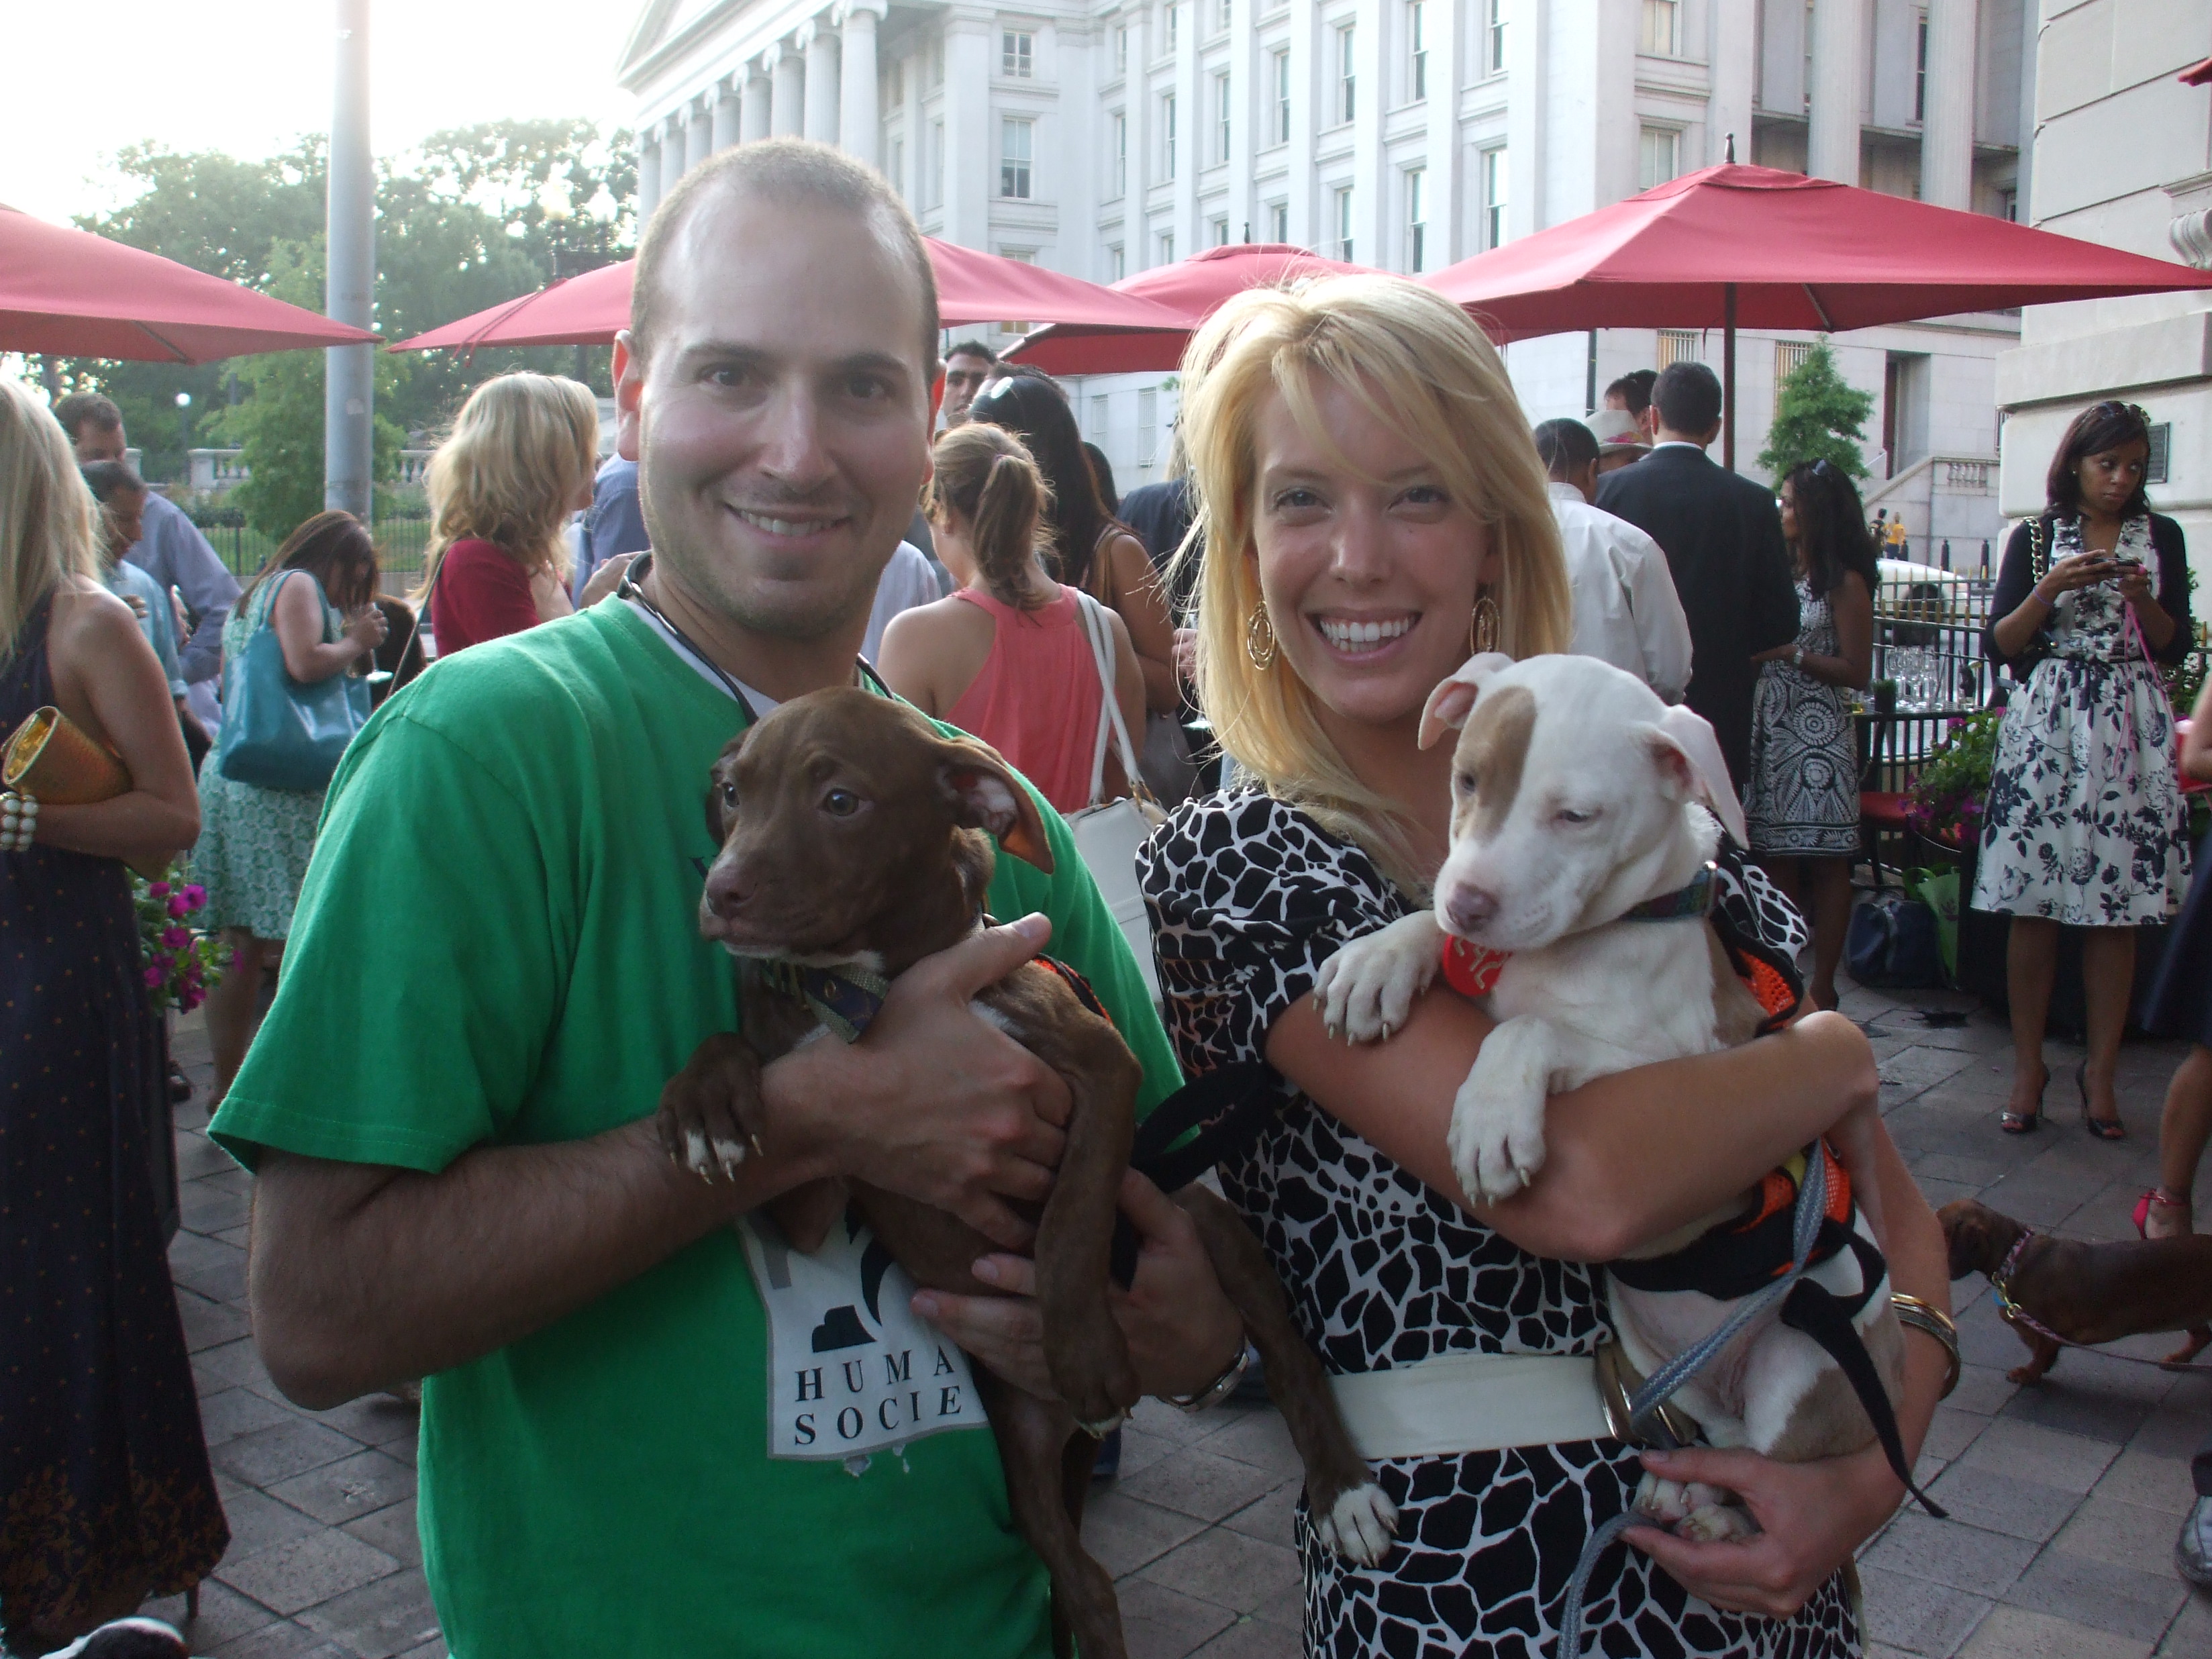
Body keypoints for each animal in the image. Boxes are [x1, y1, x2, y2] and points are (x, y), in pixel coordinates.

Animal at [654, 690, 1389, 1659]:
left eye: (841, 802)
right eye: (734, 794)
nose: (722, 893)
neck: (876, 989)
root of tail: (1072, 1432)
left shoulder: (1101, 1066)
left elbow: (1070, 1220)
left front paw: (1083, 1345)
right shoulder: (811, 1195)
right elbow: (753, 1065)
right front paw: (704, 1099)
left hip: (1206, 1221)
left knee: (1290, 1352)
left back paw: (1343, 1491)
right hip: (1020, 1449)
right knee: (1082, 1582)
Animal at [1309, 654, 1902, 1548]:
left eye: (1575, 817)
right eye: (1466, 779)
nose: (1468, 902)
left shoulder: (1666, 1059)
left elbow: (1527, 1031)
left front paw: (1491, 1118)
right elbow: (1438, 946)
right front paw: (1379, 959)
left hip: (1798, 1363)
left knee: (1772, 1465)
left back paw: (1710, 1507)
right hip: (1661, 1361)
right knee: (1715, 1432)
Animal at [1938, 1203, 2212, 1380]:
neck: (2014, 1255)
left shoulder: (2046, 1329)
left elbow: (2040, 1353)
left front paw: (2029, 1374)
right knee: (2203, 1336)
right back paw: (2178, 1358)